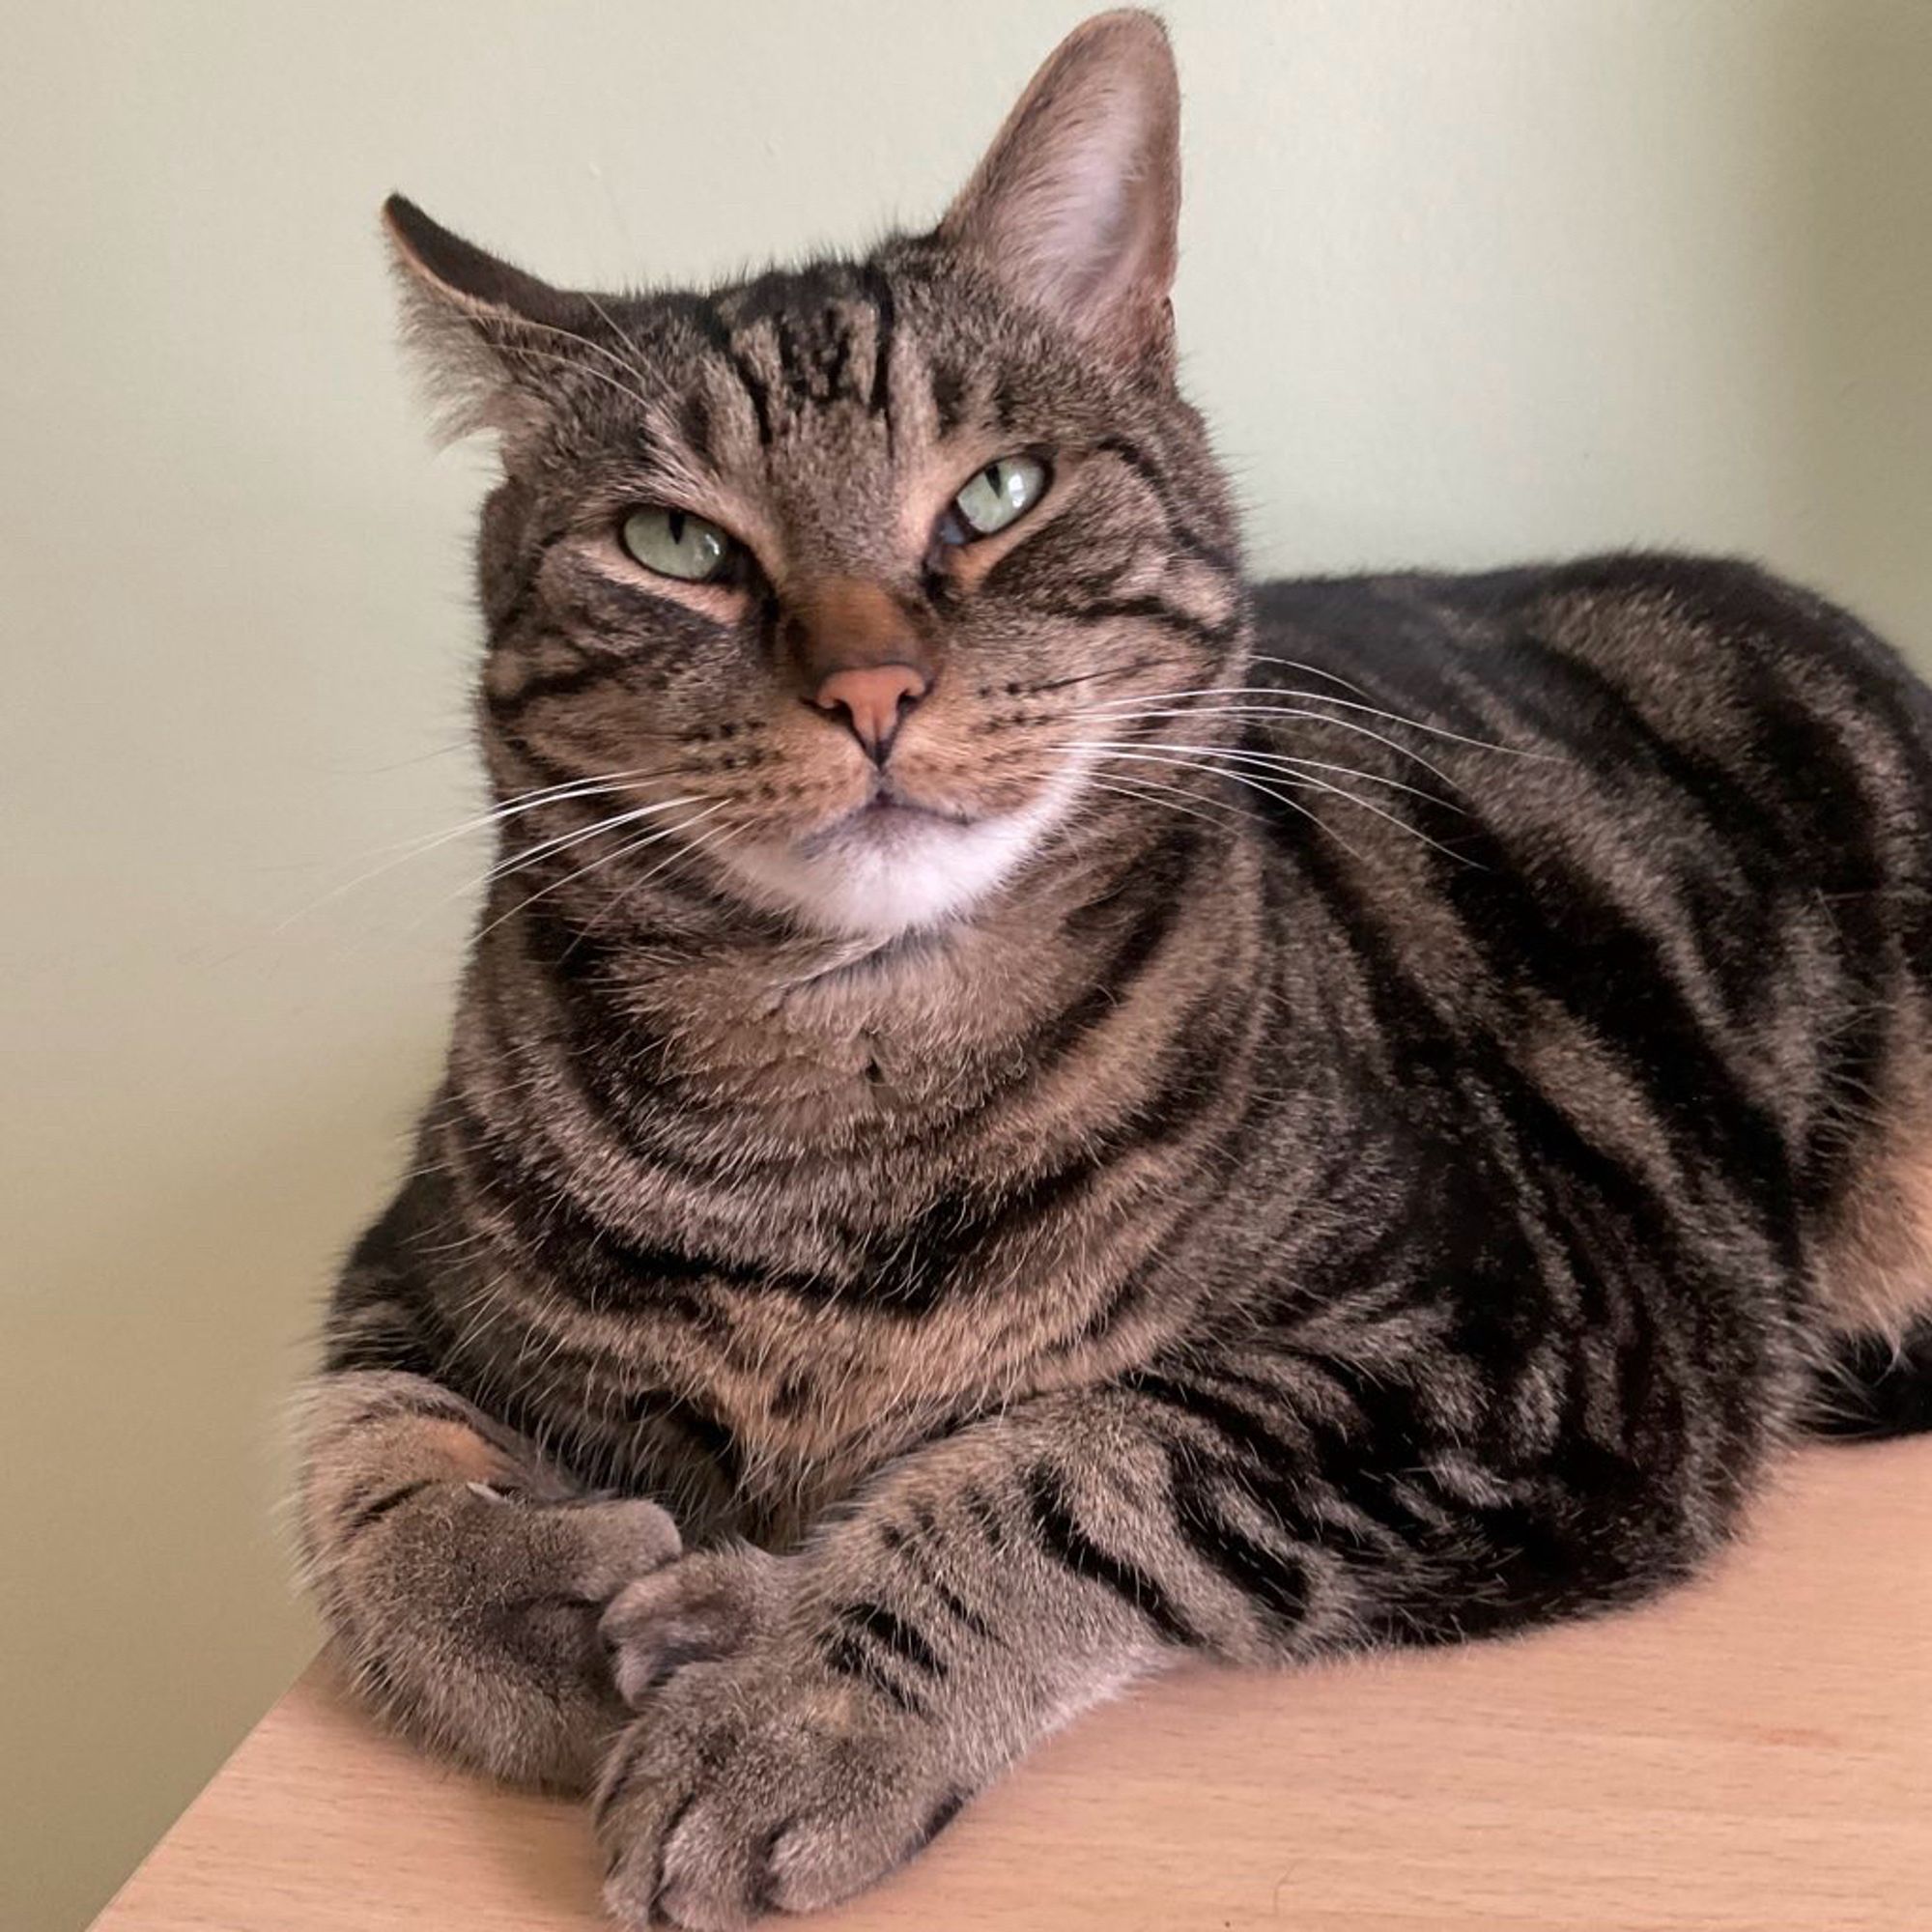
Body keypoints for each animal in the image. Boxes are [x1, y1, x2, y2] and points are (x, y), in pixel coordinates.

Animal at [294, 14, 1932, 1932]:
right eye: (673, 545)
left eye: (998, 494)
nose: (868, 685)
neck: (841, 1103)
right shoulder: (408, 1259)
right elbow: (363, 1473)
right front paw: (534, 1616)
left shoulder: (1536, 1353)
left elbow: (1075, 1463)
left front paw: (779, 1691)